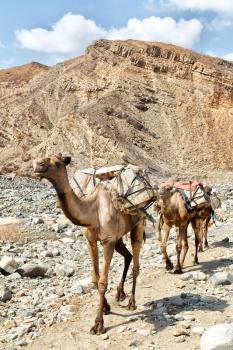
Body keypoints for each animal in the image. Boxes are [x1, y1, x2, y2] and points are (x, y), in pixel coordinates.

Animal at [32, 154, 146, 334]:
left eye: (57, 162)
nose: (38, 164)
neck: (92, 213)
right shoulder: (91, 240)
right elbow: (94, 279)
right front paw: (106, 307)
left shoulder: (107, 241)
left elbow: (102, 282)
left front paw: (98, 323)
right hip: (119, 237)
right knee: (127, 255)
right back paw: (120, 293)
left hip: (138, 224)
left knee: (136, 264)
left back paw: (132, 302)